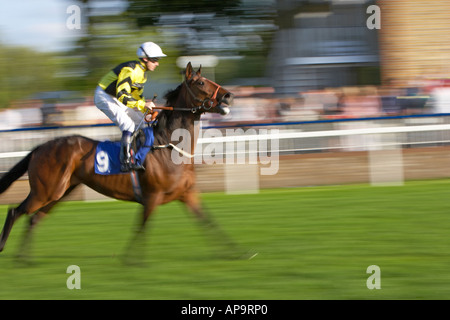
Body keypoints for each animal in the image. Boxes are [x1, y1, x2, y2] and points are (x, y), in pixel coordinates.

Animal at [0, 63, 237, 260]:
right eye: (200, 82)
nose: (228, 96)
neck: (168, 146)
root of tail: (40, 147)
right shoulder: (152, 196)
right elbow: (141, 227)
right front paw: (131, 261)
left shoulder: (187, 194)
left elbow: (209, 221)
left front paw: (236, 252)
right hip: (45, 191)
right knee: (15, 211)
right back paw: (5, 248)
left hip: (60, 192)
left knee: (34, 219)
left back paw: (24, 258)